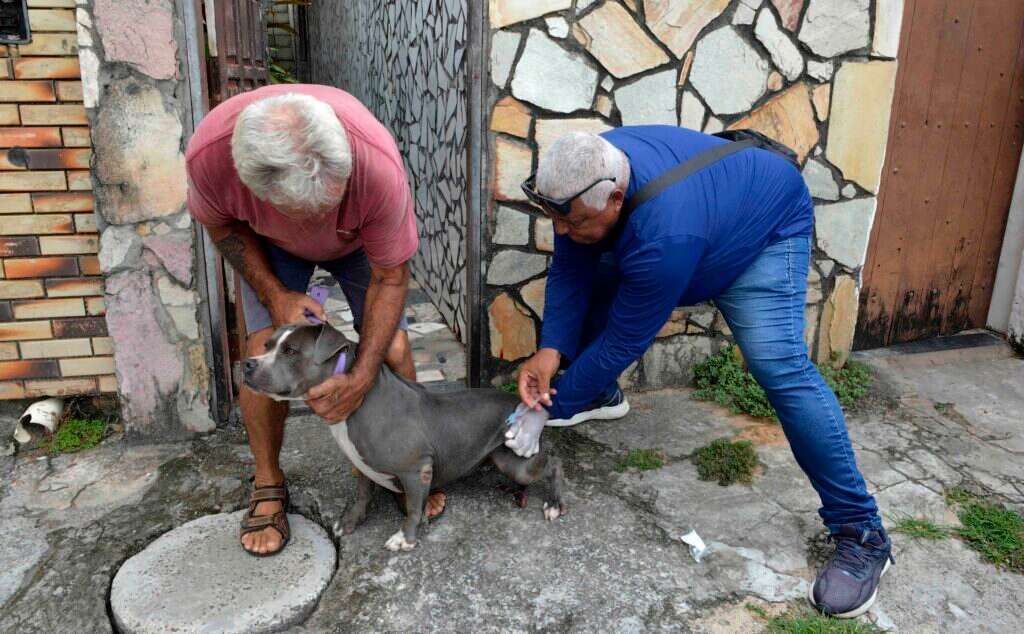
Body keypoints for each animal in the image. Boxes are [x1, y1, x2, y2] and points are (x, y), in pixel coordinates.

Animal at [241, 321, 569, 548]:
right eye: (267, 344)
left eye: (290, 351)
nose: (246, 363)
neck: (356, 401)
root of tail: (521, 404)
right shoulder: (361, 464)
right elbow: (362, 495)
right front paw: (350, 522)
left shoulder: (416, 469)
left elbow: (412, 508)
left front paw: (406, 538)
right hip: (503, 459)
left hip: (521, 461)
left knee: (555, 463)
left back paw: (554, 504)